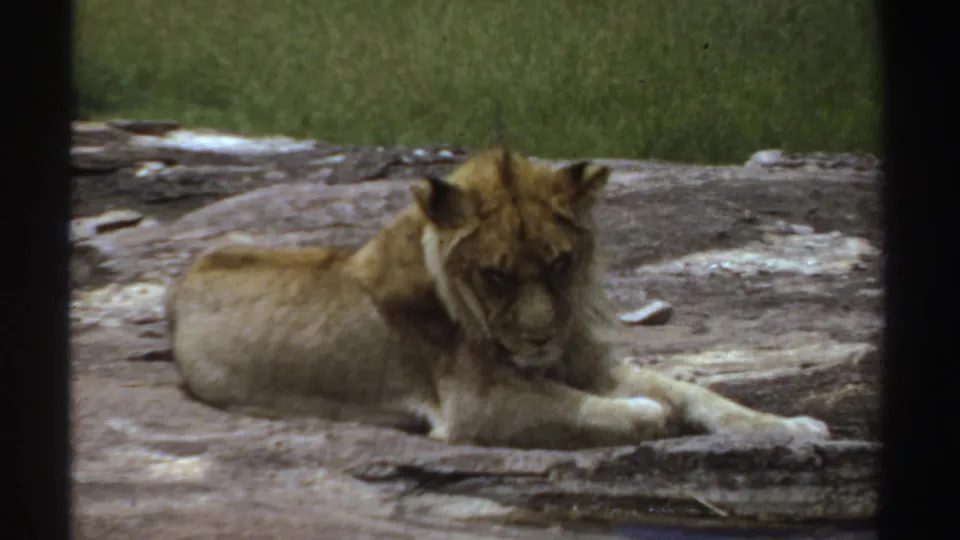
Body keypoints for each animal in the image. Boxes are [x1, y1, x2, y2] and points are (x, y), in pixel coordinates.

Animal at [166, 148, 829, 450]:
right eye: (496, 276)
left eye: (561, 265)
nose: (539, 337)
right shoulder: (475, 405)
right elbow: (583, 405)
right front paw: (644, 411)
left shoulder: (583, 358)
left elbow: (699, 391)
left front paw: (791, 425)